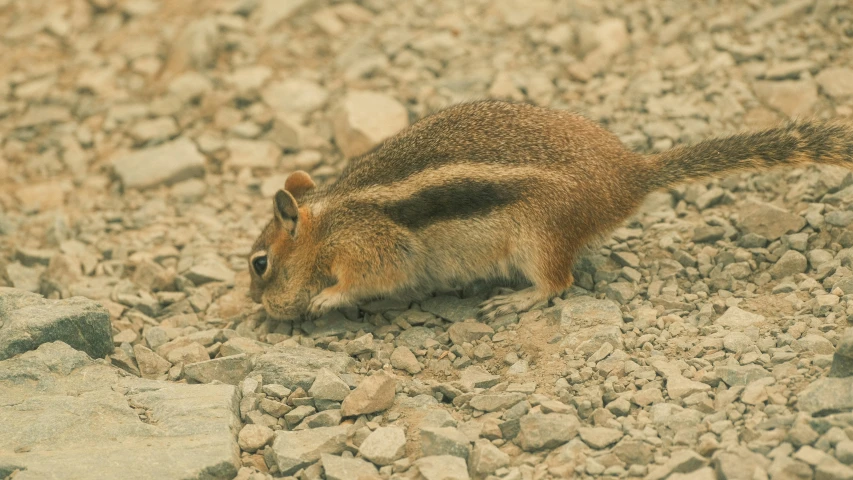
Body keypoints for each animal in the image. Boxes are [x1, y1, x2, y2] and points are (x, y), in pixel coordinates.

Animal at [246, 99, 852, 320]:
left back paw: (517, 300)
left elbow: (370, 276)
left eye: (259, 264)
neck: (330, 219)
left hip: (540, 236)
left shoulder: (372, 245)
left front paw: (325, 298)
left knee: (559, 282)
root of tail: (629, 175)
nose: (259, 309)